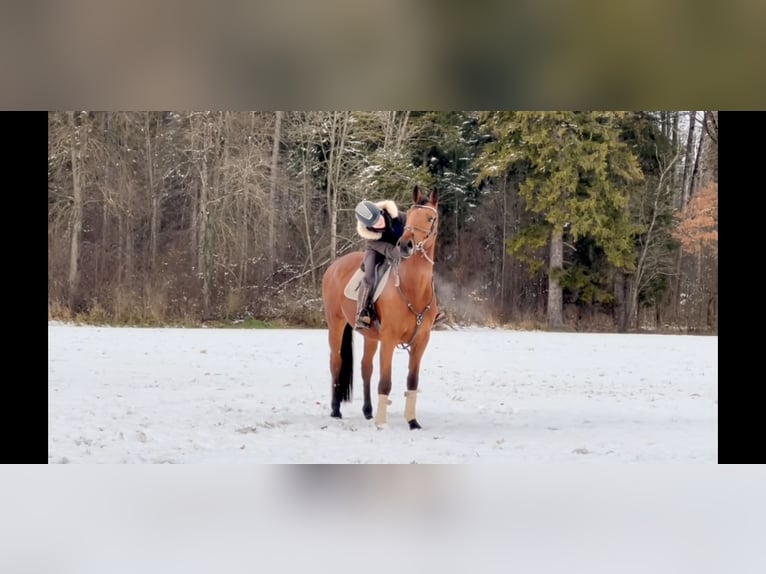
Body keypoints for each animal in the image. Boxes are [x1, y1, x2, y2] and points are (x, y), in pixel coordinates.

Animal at [320, 187, 440, 430]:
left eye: (429, 218)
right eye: (410, 217)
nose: (405, 245)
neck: (413, 288)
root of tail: (334, 266)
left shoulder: (421, 341)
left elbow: (412, 382)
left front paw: (412, 421)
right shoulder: (389, 339)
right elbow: (385, 382)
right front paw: (382, 424)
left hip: (370, 336)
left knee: (366, 367)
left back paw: (368, 411)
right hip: (336, 324)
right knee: (336, 362)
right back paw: (336, 409)